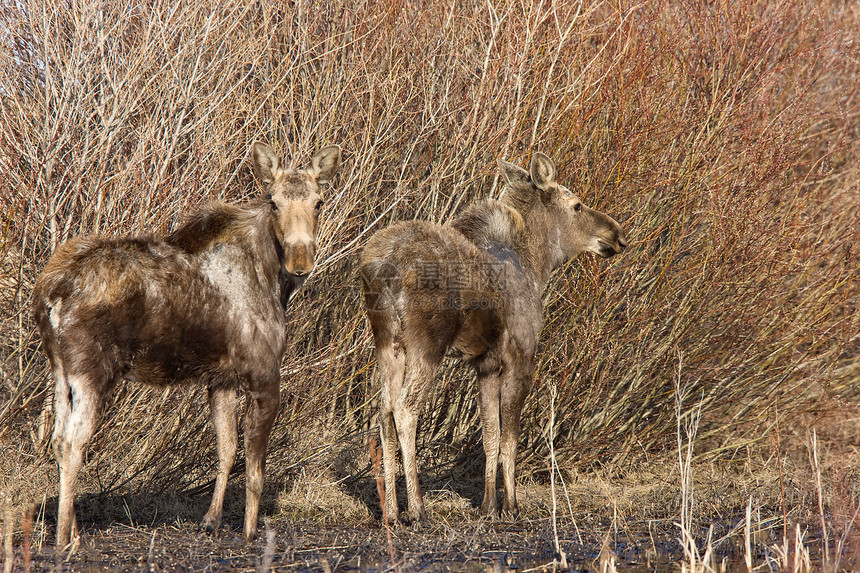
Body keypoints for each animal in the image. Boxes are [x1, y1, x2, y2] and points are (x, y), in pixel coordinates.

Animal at [33, 142, 342, 544]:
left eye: (318, 201)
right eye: (274, 202)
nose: (300, 261)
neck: (272, 276)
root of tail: (50, 292)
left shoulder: (221, 378)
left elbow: (226, 449)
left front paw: (211, 520)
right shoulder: (264, 373)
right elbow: (255, 467)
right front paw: (249, 531)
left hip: (59, 370)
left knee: (57, 440)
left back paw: (67, 528)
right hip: (92, 370)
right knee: (73, 443)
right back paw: (65, 538)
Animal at [360, 152, 628, 524]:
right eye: (576, 205)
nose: (617, 236)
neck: (537, 265)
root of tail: (381, 267)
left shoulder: (484, 364)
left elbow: (489, 434)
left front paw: (488, 505)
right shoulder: (521, 357)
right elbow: (509, 438)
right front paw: (511, 506)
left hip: (387, 343)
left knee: (382, 412)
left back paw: (392, 513)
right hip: (426, 344)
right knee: (404, 409)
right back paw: (418, 509)